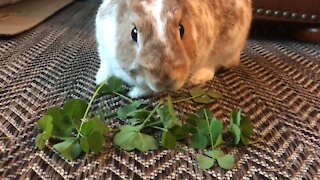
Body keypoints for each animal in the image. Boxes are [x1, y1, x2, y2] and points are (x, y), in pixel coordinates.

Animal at [95, 0, 252, 97]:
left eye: (181, 29)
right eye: (134, 33)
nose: (165, 80)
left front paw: (135, 93)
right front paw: (100, 80)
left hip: (228, 47)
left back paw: (198, 77)